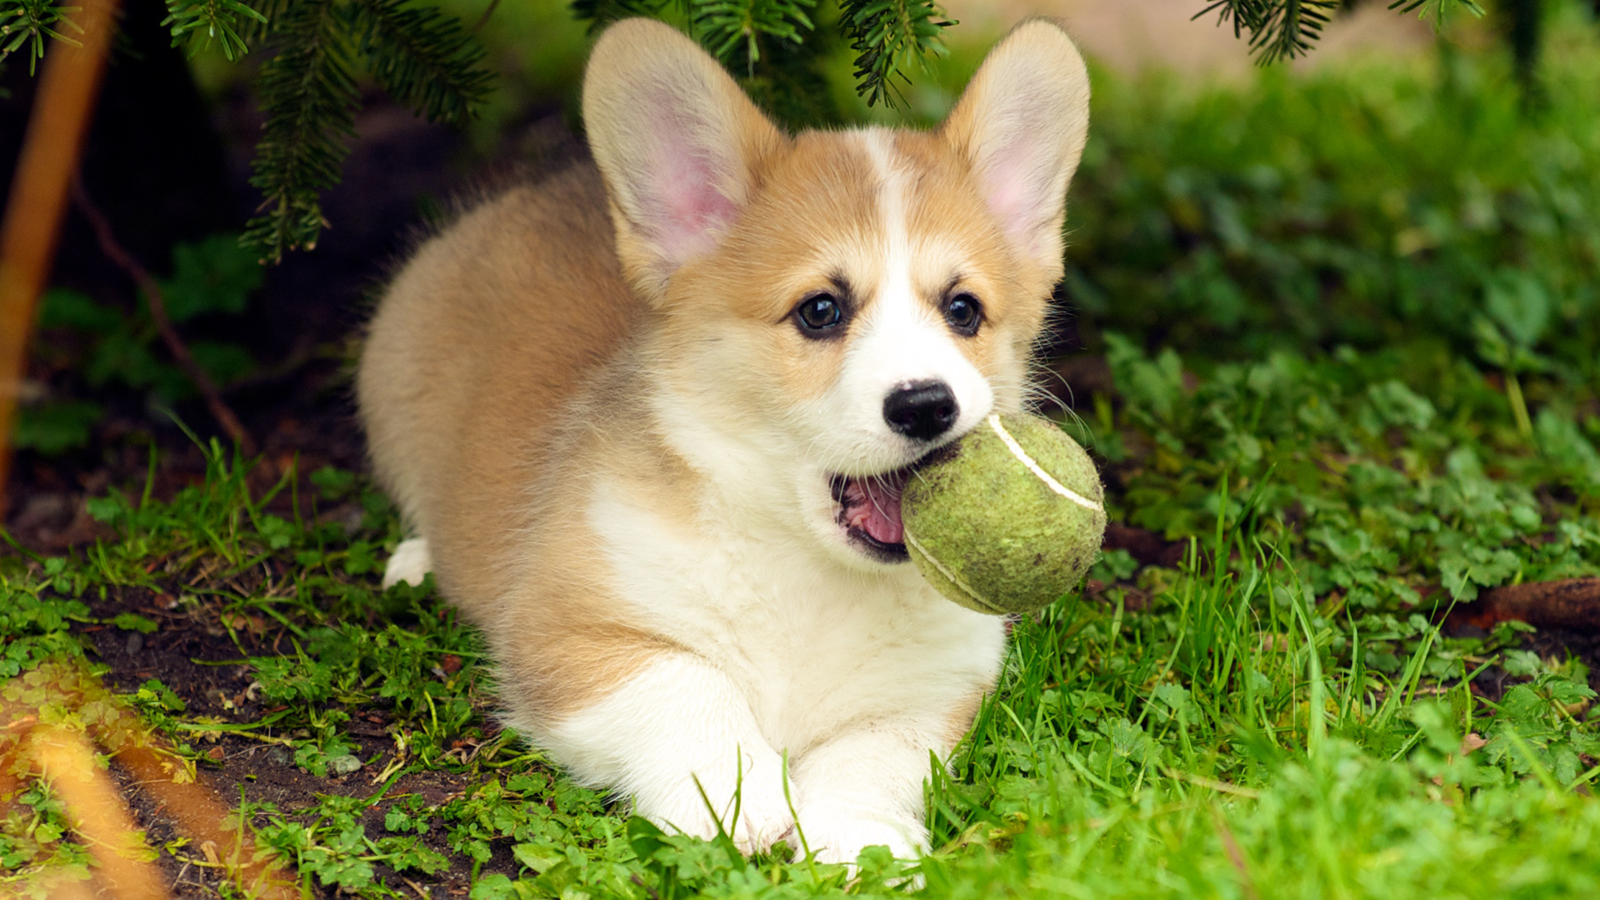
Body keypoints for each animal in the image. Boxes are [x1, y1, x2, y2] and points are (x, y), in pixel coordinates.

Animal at [358, 19, 1094, 864]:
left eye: (963, 309)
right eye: (819, 310)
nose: (926, 405)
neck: (811, 572)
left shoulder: (935, 690)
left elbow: (876, 755)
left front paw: (858, 842)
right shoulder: (564, 631)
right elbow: (687, 682)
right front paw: (735, 799)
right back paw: (417, 559)